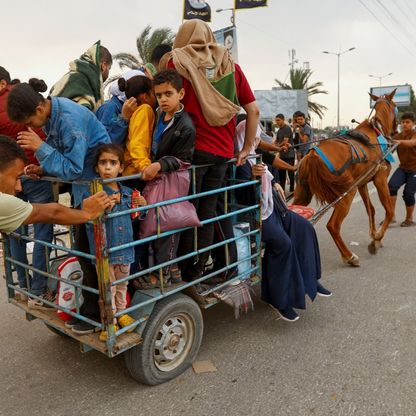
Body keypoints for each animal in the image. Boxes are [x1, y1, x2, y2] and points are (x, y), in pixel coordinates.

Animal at [294, 91, 398, 266]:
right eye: (396, 106)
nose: (397, 130)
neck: (376, 132)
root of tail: (313, 155)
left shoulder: (362, 183)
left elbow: (371, 209)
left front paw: (374, 235)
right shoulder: (380, 179)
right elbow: (389, 211)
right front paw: (377, 239)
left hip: (304, 192)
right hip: (348, 192)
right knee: (333, 226)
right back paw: (349, 256)